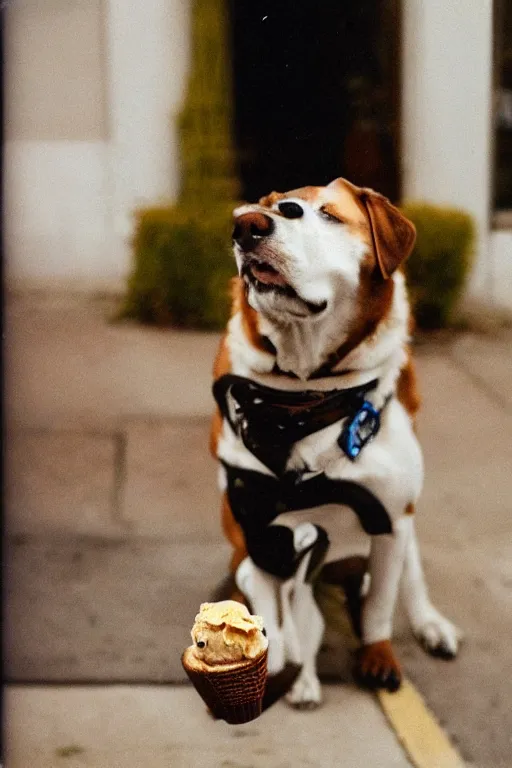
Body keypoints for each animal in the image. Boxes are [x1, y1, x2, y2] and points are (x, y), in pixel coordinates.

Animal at [210, 178, 462, 708]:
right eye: (267, 208)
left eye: (328, 214)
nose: (246, 225)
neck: (310, 394)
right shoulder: (258, 526)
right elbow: (275, 610)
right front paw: (280, 670)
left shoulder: (392, 518)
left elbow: (382, 604)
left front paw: (379, 656)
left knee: (408, 578)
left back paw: (430, 624)